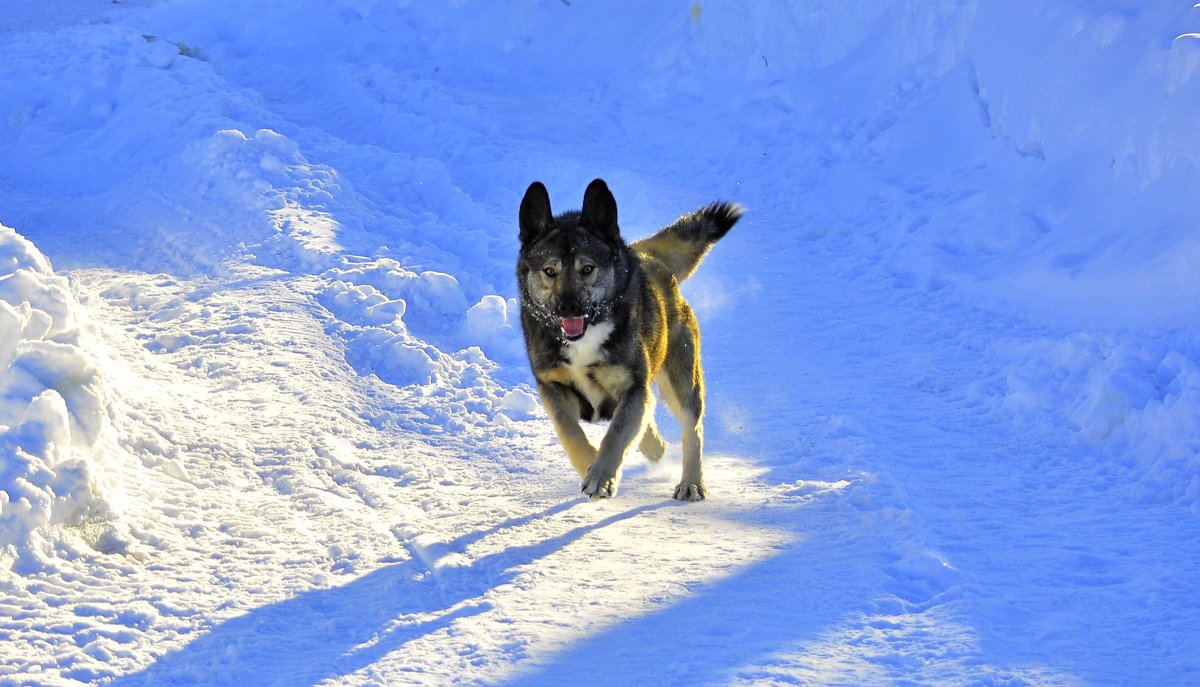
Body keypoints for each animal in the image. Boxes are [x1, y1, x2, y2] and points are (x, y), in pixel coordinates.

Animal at [516, 176, 739, 499]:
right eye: (549, 271)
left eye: (587, 269)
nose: (568, 307)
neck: (587, 335)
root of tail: (652, 259)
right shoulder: (553, 385)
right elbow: (570, 432)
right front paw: (589, 464)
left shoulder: (633, 385)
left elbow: (616, 435)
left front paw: (600, 477)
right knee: (648, 423)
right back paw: (657, 449)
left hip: (681, 378)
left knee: (691, 427)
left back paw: (691, 482)